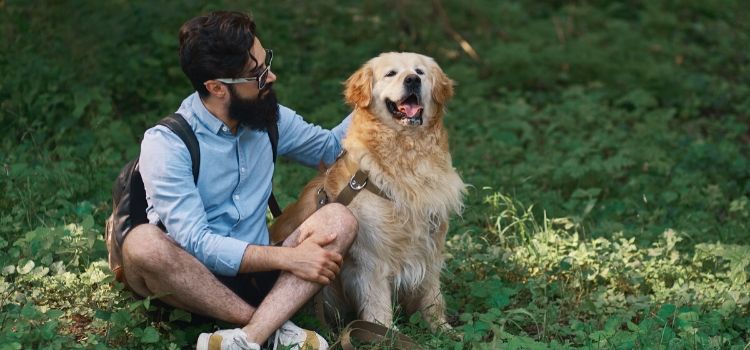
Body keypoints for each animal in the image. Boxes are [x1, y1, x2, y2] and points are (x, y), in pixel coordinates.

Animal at [274, 52, 468, 330]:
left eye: (420, 72)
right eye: (391, 73)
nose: (412, 80)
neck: (407, 154)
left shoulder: (431, 244)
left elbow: (433, 294)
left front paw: (441, 328)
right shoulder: (371, 256)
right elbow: (378, 304)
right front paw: (385, 333)